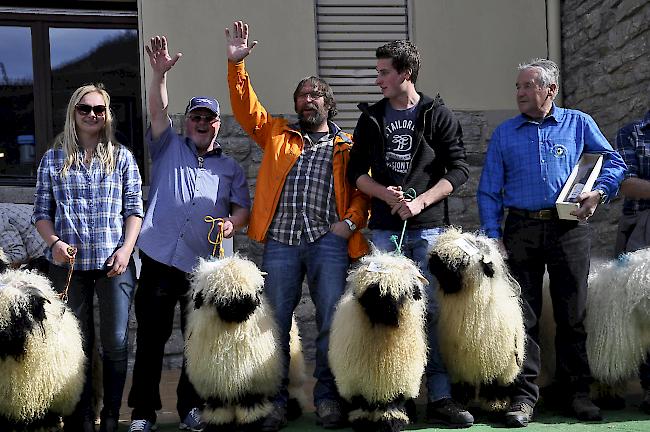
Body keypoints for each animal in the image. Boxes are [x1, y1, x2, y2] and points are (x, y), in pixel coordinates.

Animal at [182, 255, 304, 430]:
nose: (237, 308)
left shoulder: (254, 382)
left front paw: (252, 422)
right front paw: (218, 423)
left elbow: (250, 403)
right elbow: (218, 406)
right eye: (216, 293)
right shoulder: (214, 383)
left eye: (247, 293)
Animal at [326, 248, 428, 430]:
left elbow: (392, 403)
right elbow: (361, 403)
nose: (386, 308)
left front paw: (392, 420)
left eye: (404, 292)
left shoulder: (397, 378)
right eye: (372, 290)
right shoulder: (355, 381)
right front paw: (361, 420)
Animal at [428, 228, 524, 410]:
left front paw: (496, 403)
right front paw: (462, 401)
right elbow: (463, 385)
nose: (433, 259)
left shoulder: (498, 364)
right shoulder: (458, 365)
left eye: (463, 261)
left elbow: (492, 384)